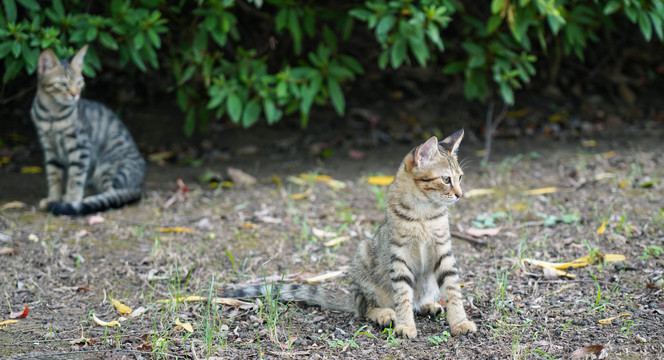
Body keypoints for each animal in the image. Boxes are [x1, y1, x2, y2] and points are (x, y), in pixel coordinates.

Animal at [30, 46, 145, 215]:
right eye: (62, 84)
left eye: (79, 82)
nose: (74, 94)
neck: (52, 114)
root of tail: (140, 185)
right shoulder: (49, 148)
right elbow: (54, 176)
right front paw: (53, 198)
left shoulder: (81, 147)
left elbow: (75, 178)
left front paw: (71, 200)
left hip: (108, 168)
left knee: (114, 193)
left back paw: (87, 200)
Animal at [226, 131, 474, 338]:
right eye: (446, 179)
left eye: (460, 178)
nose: (460, 194)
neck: (424, 213)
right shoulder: (399, 256)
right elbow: (403, 295)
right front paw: (405, 326)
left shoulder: (443, 251)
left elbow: (452, 288)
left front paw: (460, 322)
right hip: (363, 259)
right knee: (364, 308)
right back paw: (385, 314)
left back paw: (427, 304)